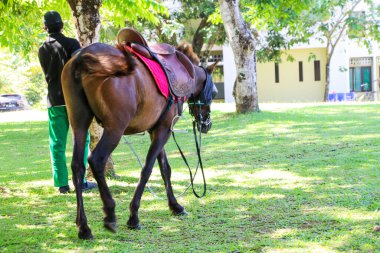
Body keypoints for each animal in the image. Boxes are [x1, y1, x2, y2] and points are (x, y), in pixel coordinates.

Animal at [61, 41, 218, 239]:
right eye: (214, 93)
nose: (207, 125)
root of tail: (82, 56)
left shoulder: (157, 130)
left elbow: (165, 169)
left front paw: (175, 205)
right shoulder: (164, 130)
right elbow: (147, 169)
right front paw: (133, 215)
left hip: (79, 123)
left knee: (77, 167)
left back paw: (83, 226)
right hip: (115, 129)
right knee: (96, 160)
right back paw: (110, 212)